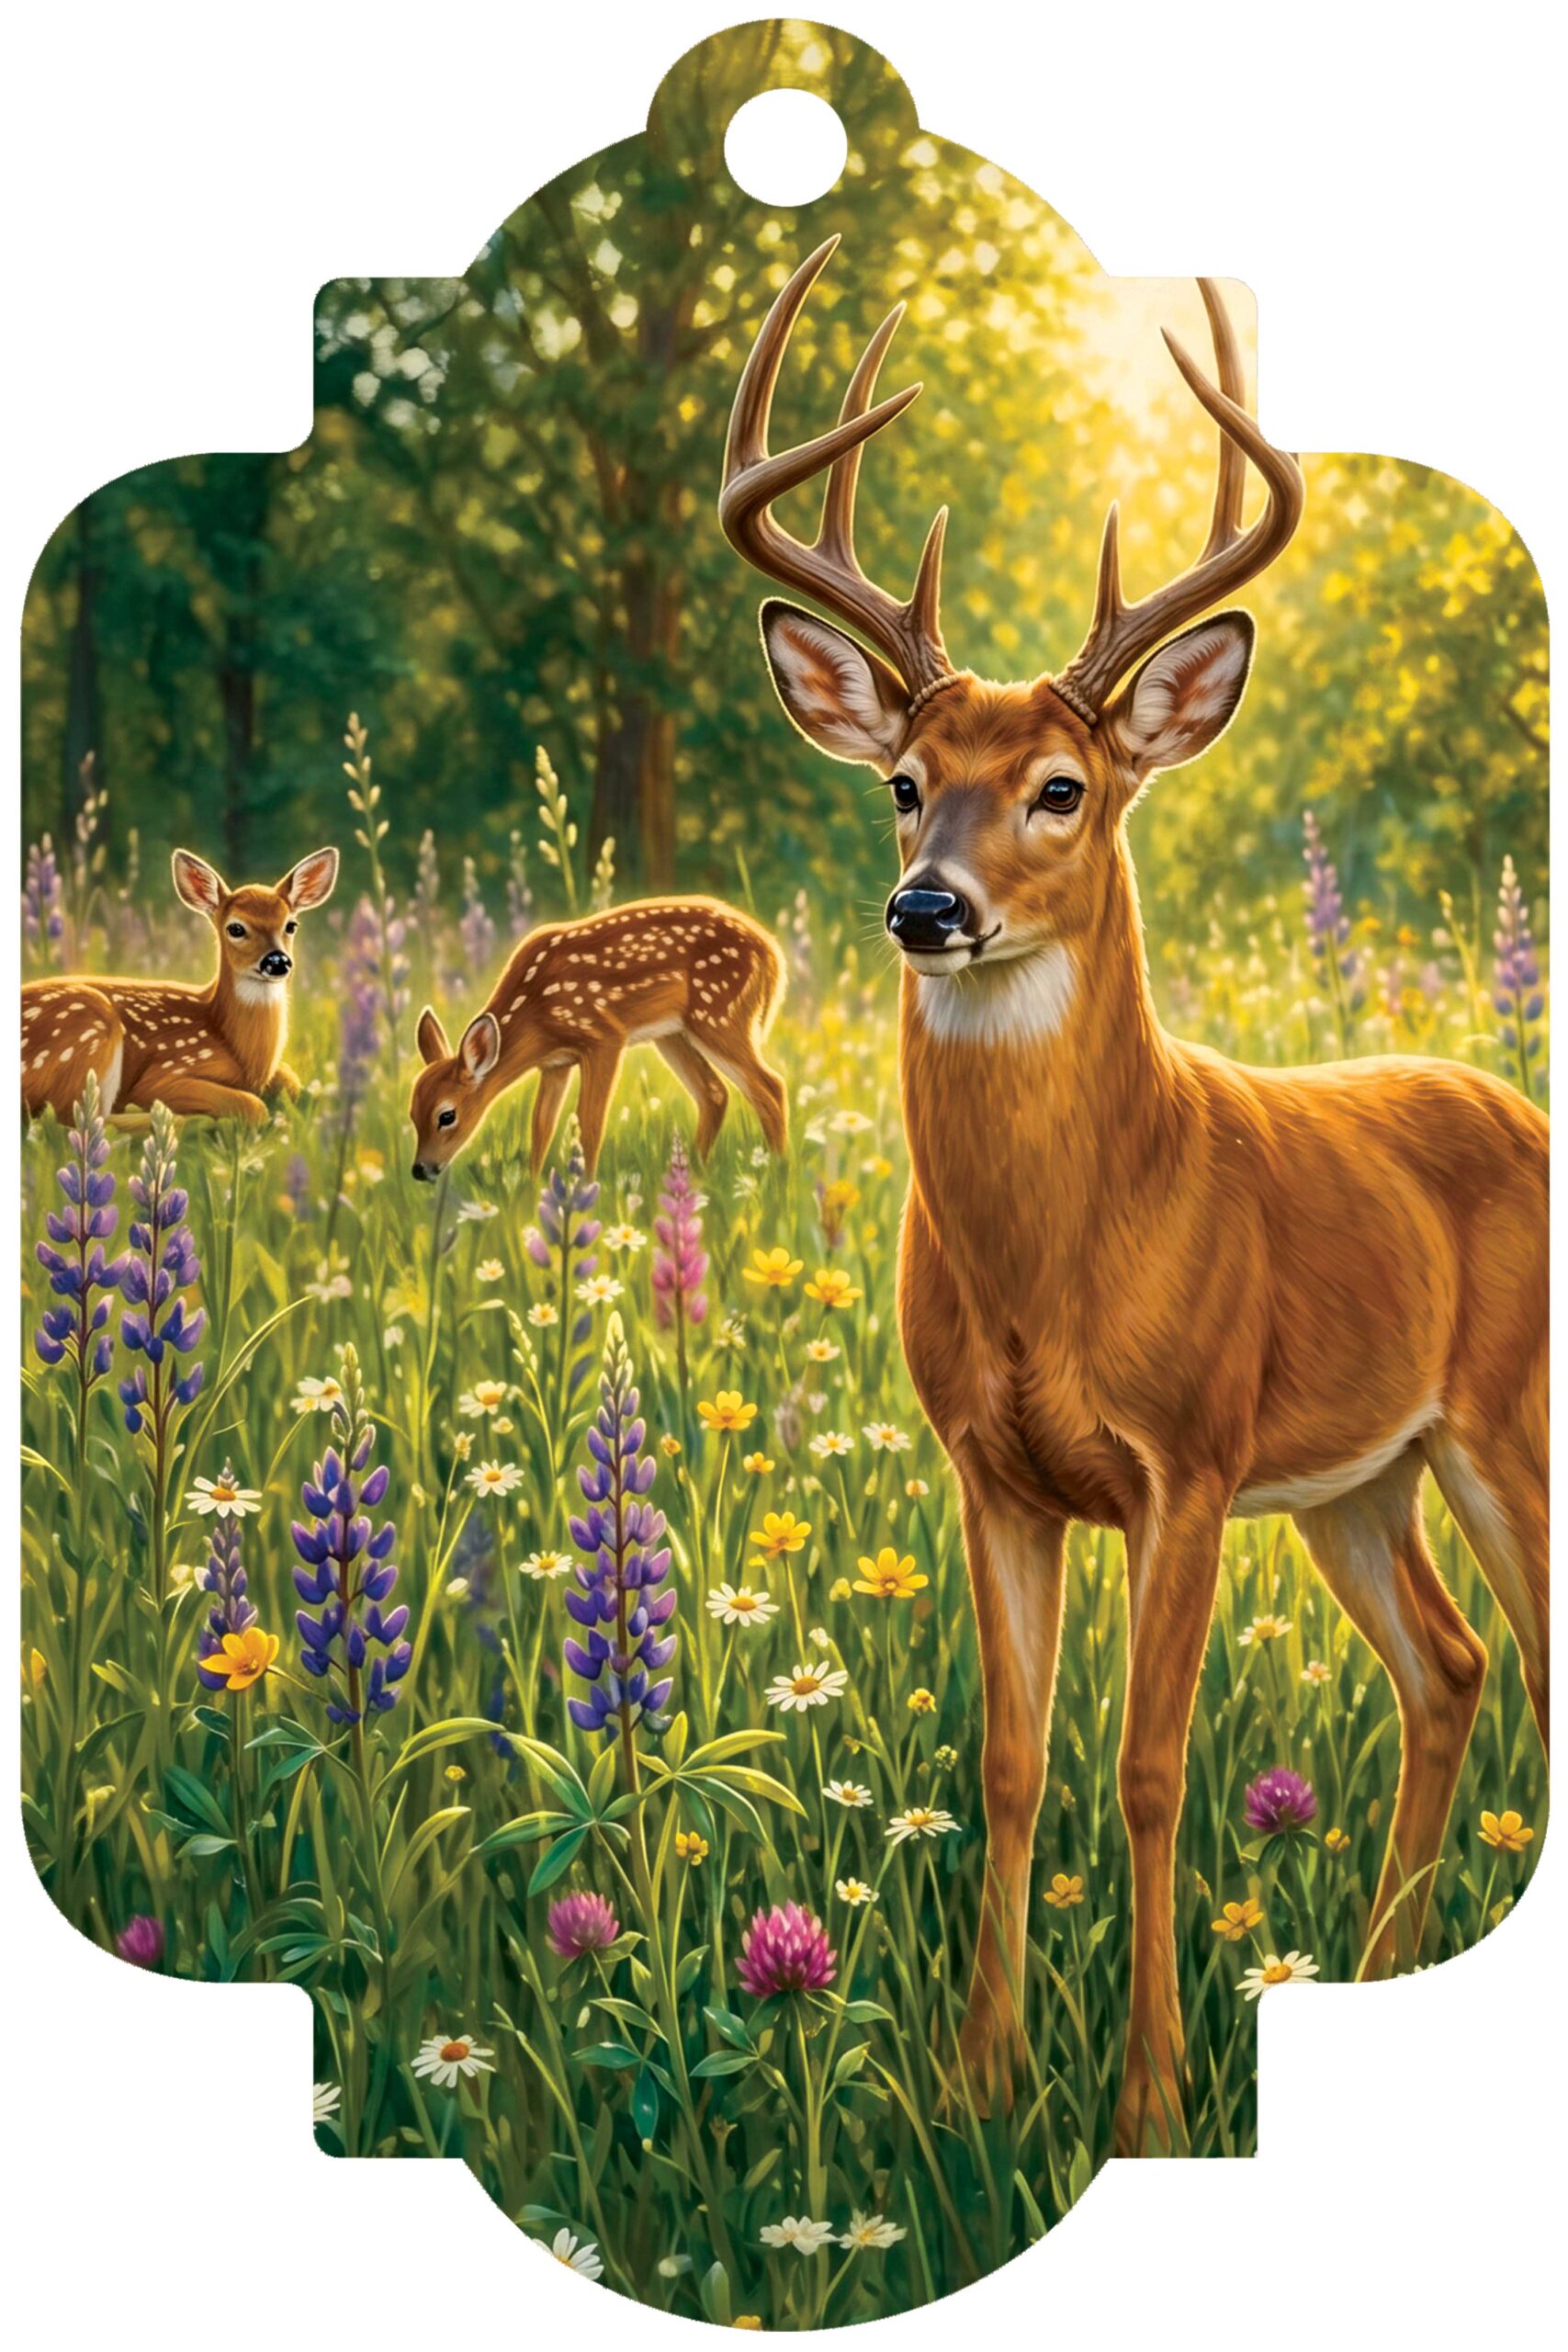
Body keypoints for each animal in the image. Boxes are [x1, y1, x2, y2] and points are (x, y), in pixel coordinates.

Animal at [21, 846, 339, 1127]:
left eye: (291, 925)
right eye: (236, 928)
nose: (277, 961)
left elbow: (292, 1081)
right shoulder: (166, 1073)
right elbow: (253, 1106)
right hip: (90, 1031)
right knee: (76, 1120)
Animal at [407, 895, 788, 1182]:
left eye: (447, 1115)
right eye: (411, 1112)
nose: (420, 1170)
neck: (535, 1014)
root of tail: (772, 952)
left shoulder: (603, 1036)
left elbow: (589, 1123)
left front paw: (585, 1190)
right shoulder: (555, 1063)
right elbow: (541, 1127)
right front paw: (532, 1194)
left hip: (718, 1015)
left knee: (769, 1085)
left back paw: (778, 1175)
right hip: (674, 1033)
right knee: (715, 1093)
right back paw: (692, 1175)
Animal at [721, 237, 1548, 2153]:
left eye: (1061, 788)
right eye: (899, 784)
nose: (926, 907)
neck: (1062, 1261)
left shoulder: (1189, 1456)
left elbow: (1153, 1769)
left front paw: (1150, 2100)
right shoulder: (990, 1467)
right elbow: (1014, 1763)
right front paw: (975, 2082)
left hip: (1497, 1421)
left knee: (1522, 1665)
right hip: (1361, 1479)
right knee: (1447, 1668)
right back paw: (1374, 1972)